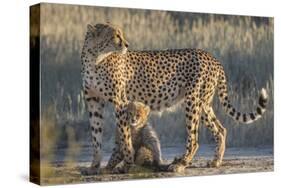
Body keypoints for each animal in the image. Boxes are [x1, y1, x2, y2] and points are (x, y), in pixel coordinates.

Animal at [80, 23, 266, 173]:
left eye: (121, 34)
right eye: (115, 35)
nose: (127, 45)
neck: (95, 58)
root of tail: (211, 56)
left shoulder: (120, 102)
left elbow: (125, 136)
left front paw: (126, 164)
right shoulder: (93, 101)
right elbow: (96, 136)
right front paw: (94, 166)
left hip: (192, 101)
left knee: (194, 138)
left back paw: (180, 164)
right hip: (203, 104)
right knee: (220, 129)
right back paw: (215, 161)